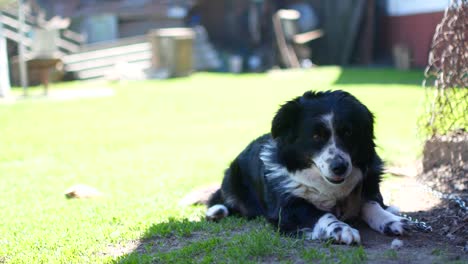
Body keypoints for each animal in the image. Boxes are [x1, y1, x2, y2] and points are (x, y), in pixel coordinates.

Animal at [207, 90, 408, 243]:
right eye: (316, 136)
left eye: (348, 132)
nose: (339, 167)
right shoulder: (287, 209)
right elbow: (319, 214)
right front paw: (340, 228)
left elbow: (371, 204)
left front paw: (389, 219)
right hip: (232, 180)